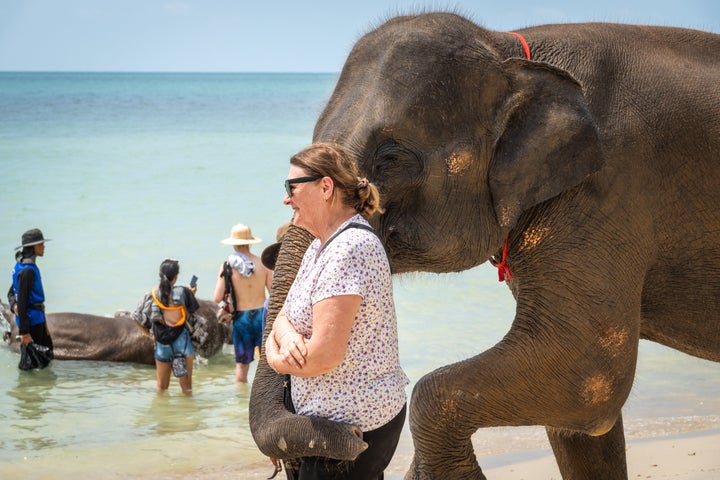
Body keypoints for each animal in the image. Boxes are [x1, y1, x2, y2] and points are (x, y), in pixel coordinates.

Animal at [249, 11, 720, 480]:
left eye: (391, 157)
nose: (352, 439)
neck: (509, 50)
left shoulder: (609, 192)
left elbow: (589, 373)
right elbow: (579, 425)